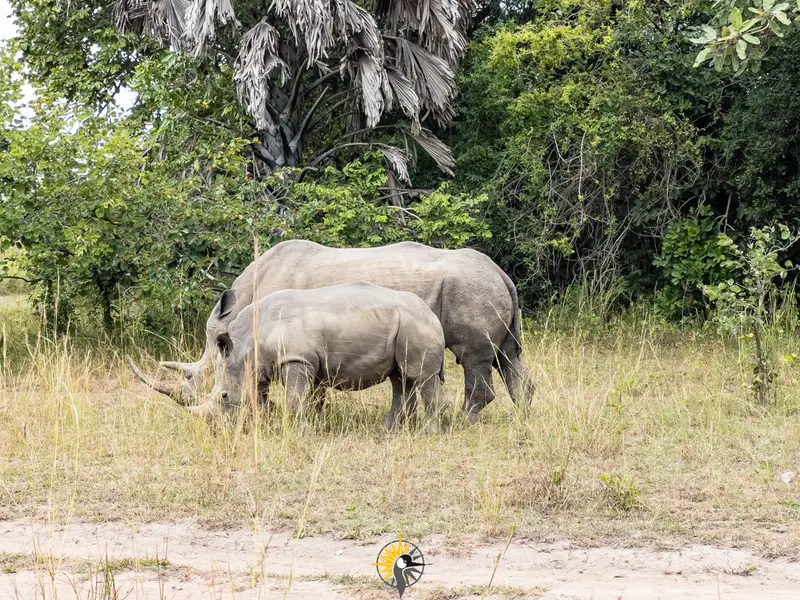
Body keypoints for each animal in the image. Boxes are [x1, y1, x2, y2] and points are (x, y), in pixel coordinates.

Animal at [190, 284, 446, 428]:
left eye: (224, 396)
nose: (217, 429)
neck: (244, 347)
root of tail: (430, 313)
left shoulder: (296, 359)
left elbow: (295, 399)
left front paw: (301, 431)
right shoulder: (263, 365)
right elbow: (266, 396)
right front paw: (263, 425)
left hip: (416, 324)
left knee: (422, 377)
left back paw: (429, 432)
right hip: (404, 325)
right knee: (400, 378)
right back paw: (393, 430)